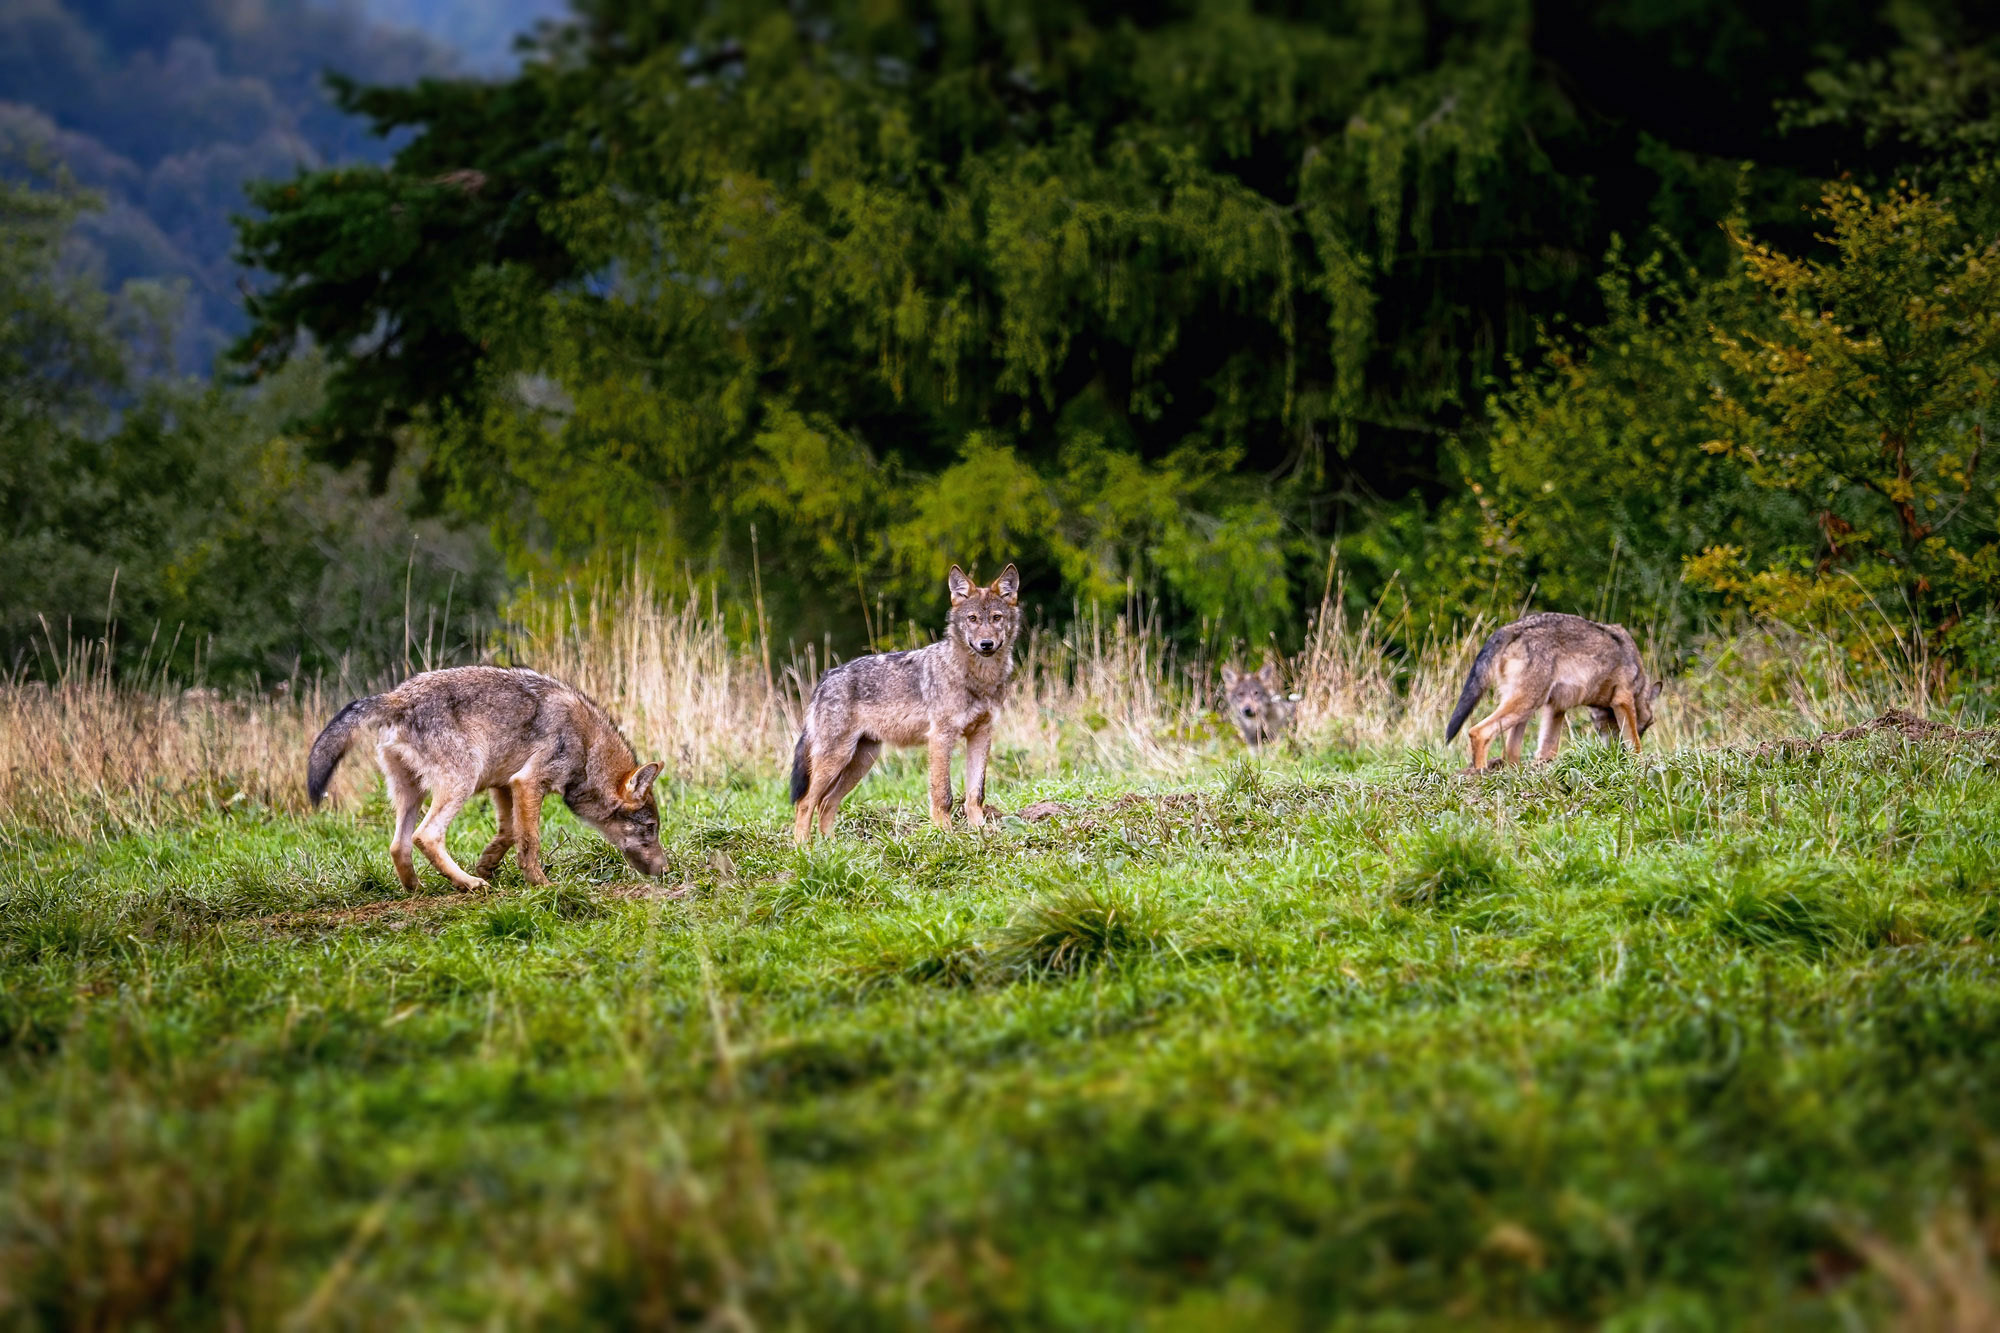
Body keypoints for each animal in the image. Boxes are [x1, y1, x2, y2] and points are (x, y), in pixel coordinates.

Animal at [302, 664, 664, 892]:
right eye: (649, 828)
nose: (665, 869)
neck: (588, 746)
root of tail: (395, 697)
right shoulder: (527, 783)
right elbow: (530, 841)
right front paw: (541, 885)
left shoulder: (505, 784)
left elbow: (509, 833)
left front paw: (487, 863)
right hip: (460, 784)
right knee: (426, 836)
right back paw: (468, 884)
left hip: (413, 795)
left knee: (398, 845)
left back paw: (419, 888)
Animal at [788, 560, 1024, 840]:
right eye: (973, 619)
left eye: (997, 618)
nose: (986, 644)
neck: (978, 678)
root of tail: (825, 678)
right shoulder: (941, 737)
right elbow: (943, 793)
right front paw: (944, 833)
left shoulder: (982, 733)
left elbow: (976, 792)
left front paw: (980, 831)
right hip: (836, 758)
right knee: (806, 802)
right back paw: (804, 847)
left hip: (860, 762)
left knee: (826, 803)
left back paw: (831, 846)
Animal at [1448, 608, 1664, 768]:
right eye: (1648, 724)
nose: (1617, 753)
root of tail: (1513, 627)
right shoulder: (1623, 699)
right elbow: (1636, 745)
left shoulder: (1556, 708)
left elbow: (1547, 752)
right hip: (1526, 705)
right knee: (1478, 732)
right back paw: (1480, 773)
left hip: (1527, 711)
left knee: (1510, 752)